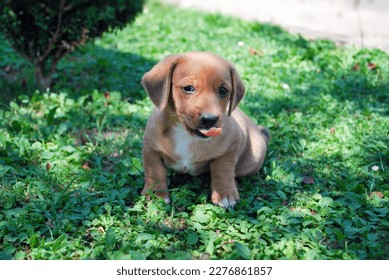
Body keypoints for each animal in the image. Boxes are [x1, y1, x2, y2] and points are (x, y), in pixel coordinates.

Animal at [141, 52, 268, 208]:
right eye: (188, 88)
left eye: (223, 91)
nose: (210, 119)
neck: (185, 134)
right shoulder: (150, 149)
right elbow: (155, 172)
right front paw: (156, 194)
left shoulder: (230, 148)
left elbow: (222, 170)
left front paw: (224, 194)